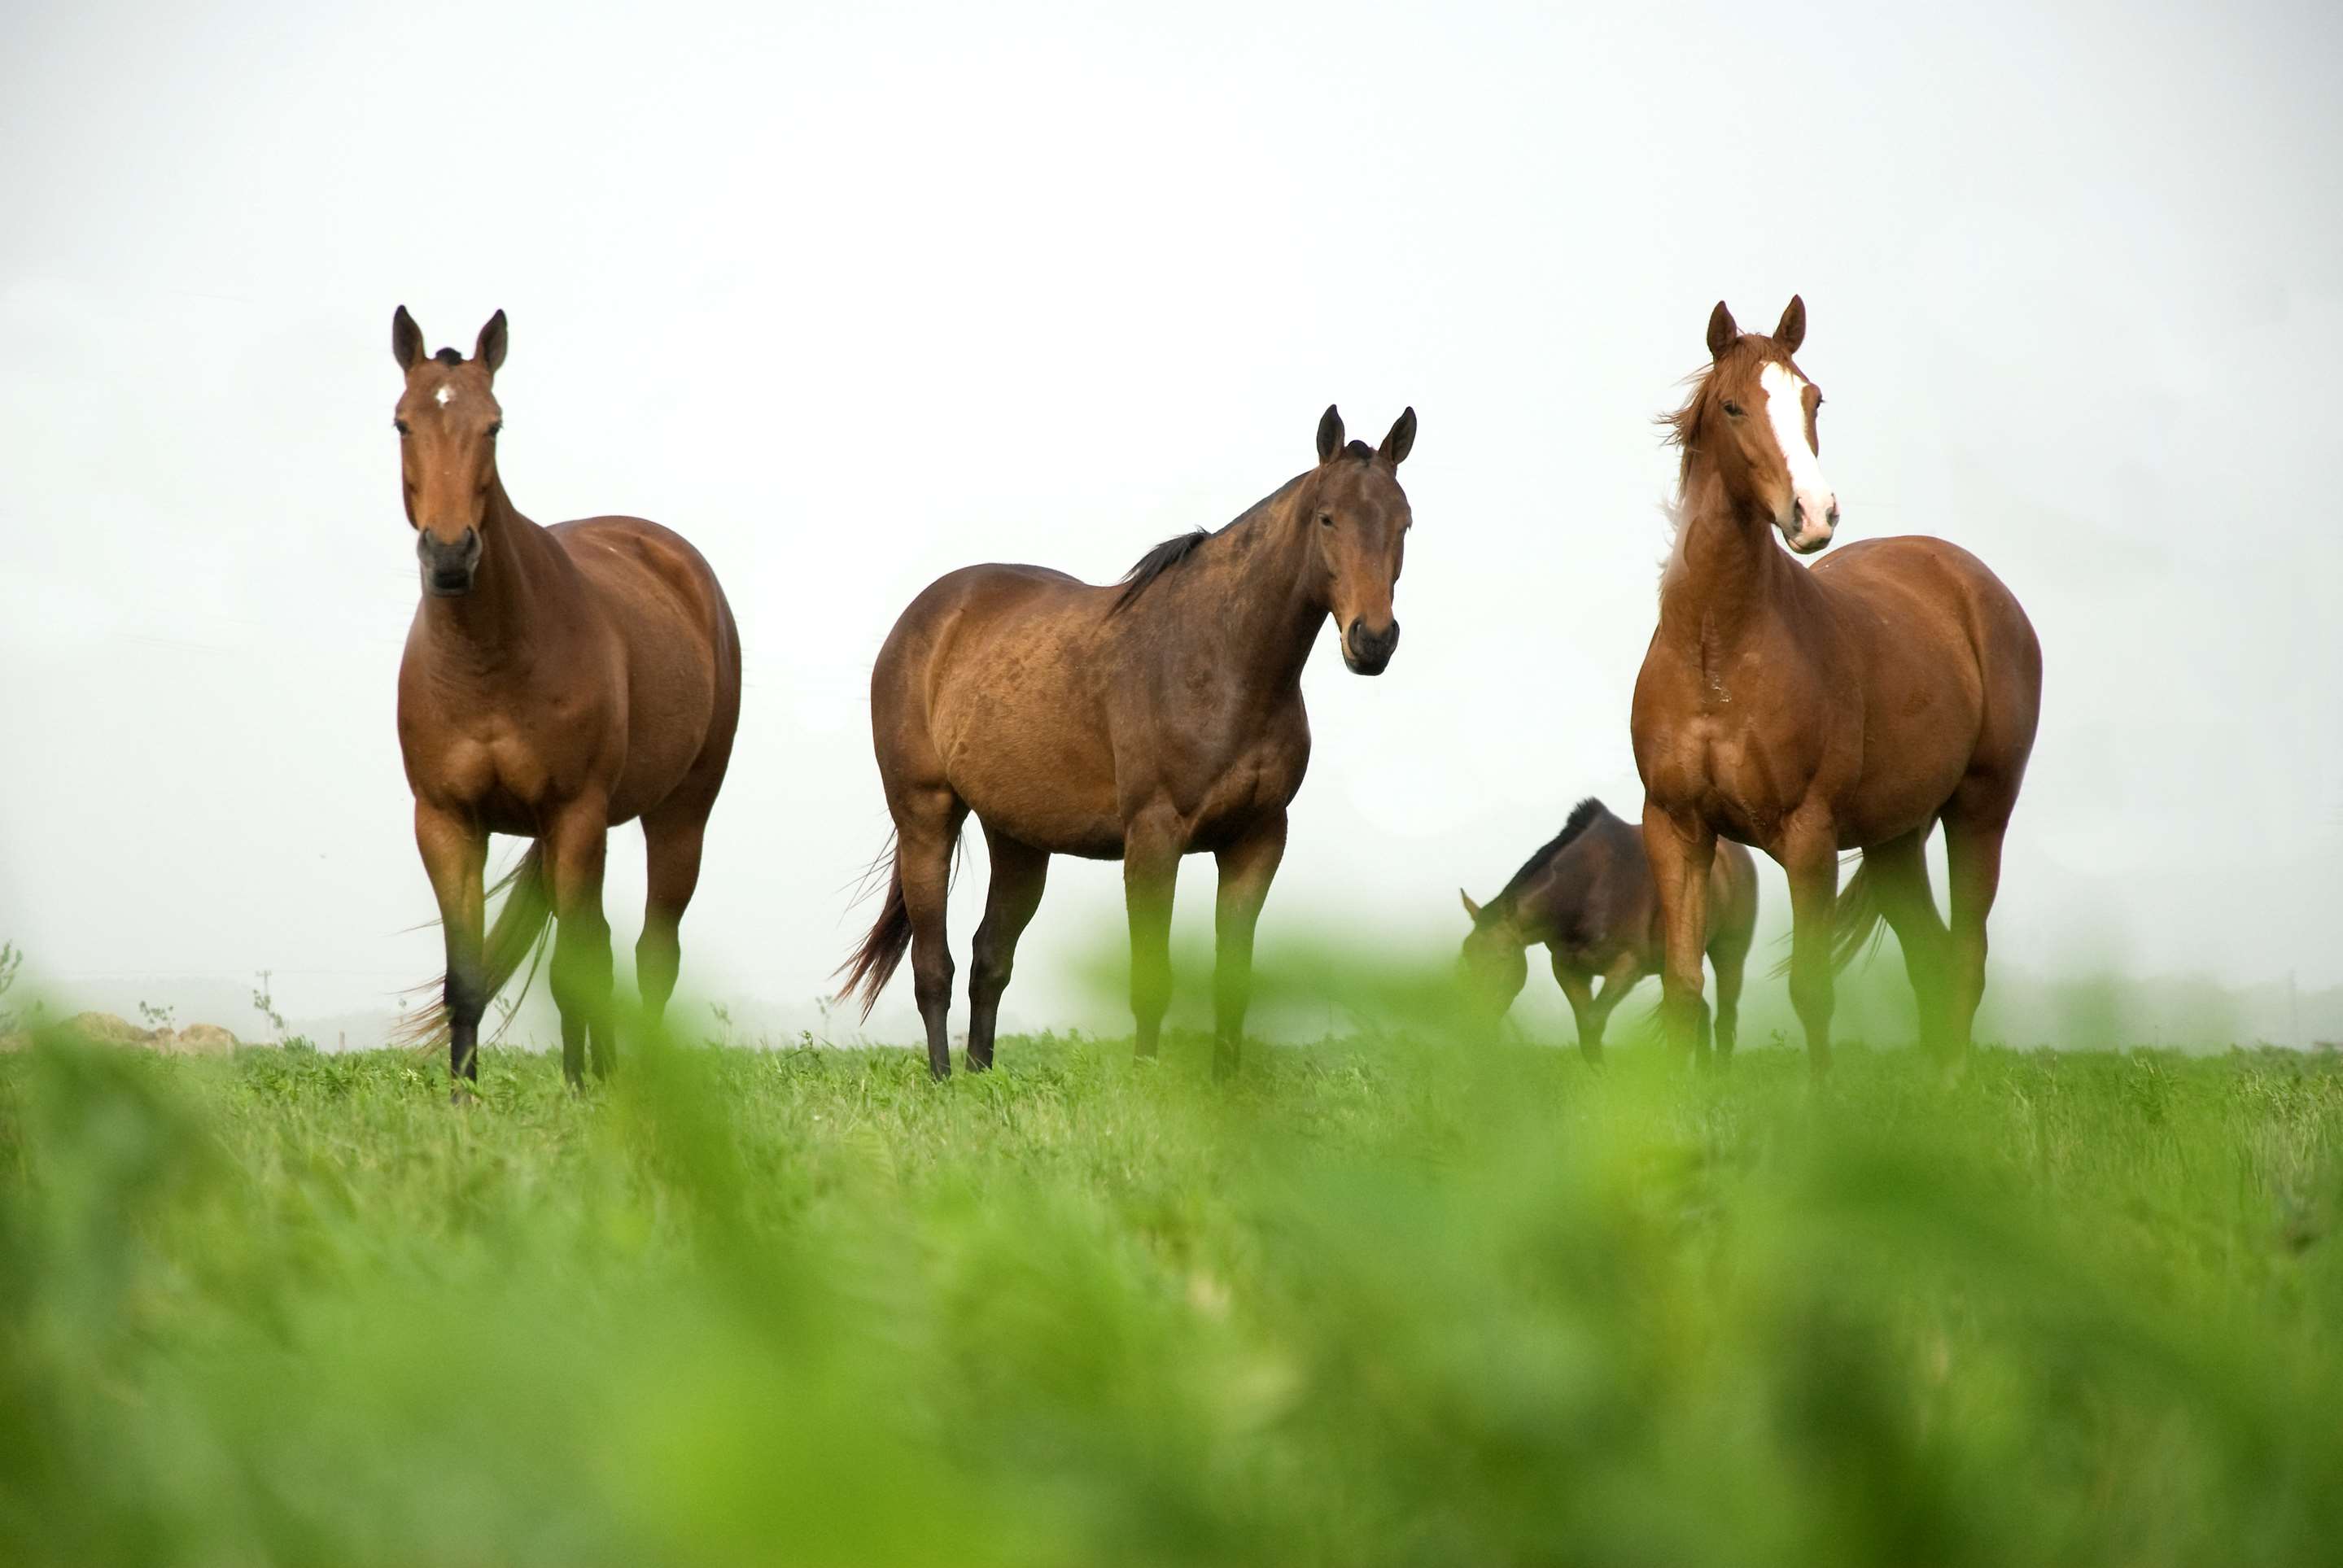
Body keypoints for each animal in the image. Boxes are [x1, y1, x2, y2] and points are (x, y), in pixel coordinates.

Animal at [390, 307, 742, 1089]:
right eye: (402, 422)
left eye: (493, 425)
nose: (450, 556)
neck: (488, 664)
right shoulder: (446, 822)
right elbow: (466, 976)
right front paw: (462, 1101)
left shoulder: (575, 812)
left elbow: (580, 968)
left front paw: (584, 1091)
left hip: (677, 815)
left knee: (648, 954)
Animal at [838, 404, 1418, 1080]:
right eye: (1327, 517)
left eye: (1404, 521)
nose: (1371, 639)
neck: (1222, 659)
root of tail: (925, 615)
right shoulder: (1153, 839)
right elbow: (1151, 980)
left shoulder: (1257, 840)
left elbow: (1234, 982)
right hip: (926, 816)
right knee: (934, 966)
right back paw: (943, 1080)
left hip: (1017, 839)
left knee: (990, 957)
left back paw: (981, 1074)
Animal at [1458, 797, 1757, 1064]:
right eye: (1467, 955)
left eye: (1501, 957)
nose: (1476, 1022)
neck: (1590, 887)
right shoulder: (1567, 968)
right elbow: (1585, 1028)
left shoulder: (1627, 966)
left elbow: (1593, 1021)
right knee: (1696, 1009)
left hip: (1730, 952)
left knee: (1724, 1017)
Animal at [1631, 296, 2041, 1072]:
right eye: (1732, 405)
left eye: (1812, 398)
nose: (1813, 513)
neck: (1716, 656)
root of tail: (1973, 583)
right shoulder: (1675, 828)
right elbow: (1681, 988)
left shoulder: (1808, 837)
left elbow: (1810, 989)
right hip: (1894, 840)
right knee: (1929, 956)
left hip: (1979, 810)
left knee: (1964, 957)